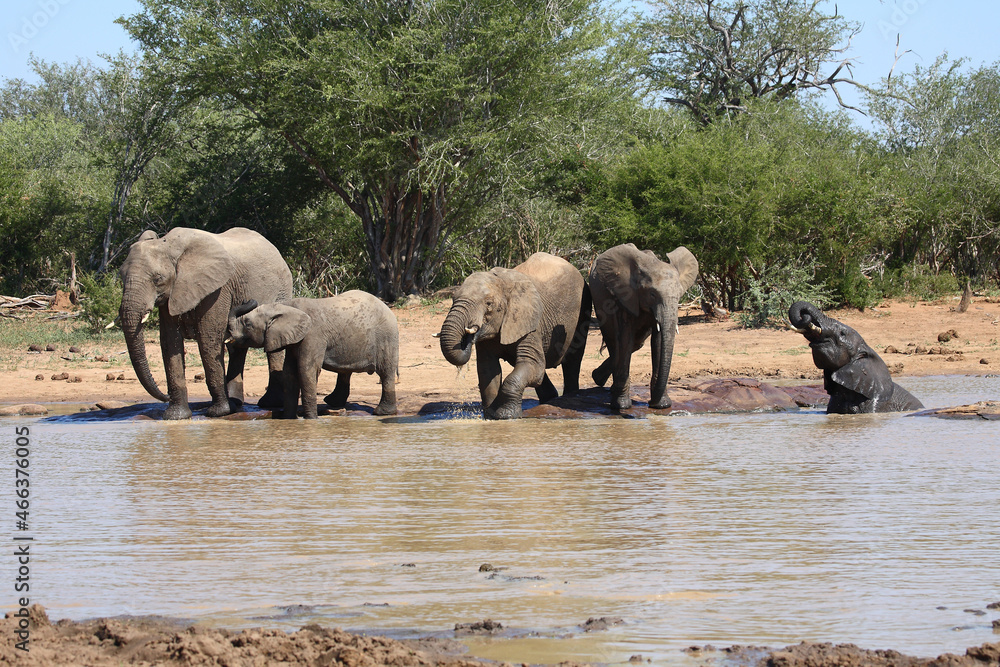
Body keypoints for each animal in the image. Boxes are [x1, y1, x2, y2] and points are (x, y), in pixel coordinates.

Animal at [119, 227, 293, 420]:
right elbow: (169, 342)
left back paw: (269, 403)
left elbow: (208, 338)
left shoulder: (217, 290)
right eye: (121, 276)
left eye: (158, 279)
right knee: (236, 348)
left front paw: (219, 412)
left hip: (282, 290)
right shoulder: (171, 295)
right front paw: (176, 416)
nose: (165, 396)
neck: (170, 245)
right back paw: (236, 403)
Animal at [227, 291, 398, 419]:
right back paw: (333, 402)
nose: (249, 299)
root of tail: (388, 308)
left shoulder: (312, 335)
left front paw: (311, 419)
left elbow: (306, 370)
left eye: (248, 325)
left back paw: (382, 413)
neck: (287, 307)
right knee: (346, 372)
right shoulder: (294, 339)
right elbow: (289, 373)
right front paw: (289, 419)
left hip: (386, 337)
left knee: (386, 373)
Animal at [438, 252, 591, 419]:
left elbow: (532, 366)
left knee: (572, 360)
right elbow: (487, 370)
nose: (468, 335)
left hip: (583, 309)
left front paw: (506, 415)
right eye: (453, 299)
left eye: (489, 304)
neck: (502, 282)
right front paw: (491, 416)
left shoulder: (530, 324)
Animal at [589, 243, 699, 411]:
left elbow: (658, 341)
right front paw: (622, 406)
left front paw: (661, 404)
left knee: (636, 343)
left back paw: (601, 380)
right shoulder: (625, 296)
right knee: (615, 343)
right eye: (652, 294)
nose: (651, 403)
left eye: (680, 295)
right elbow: (625, 339)